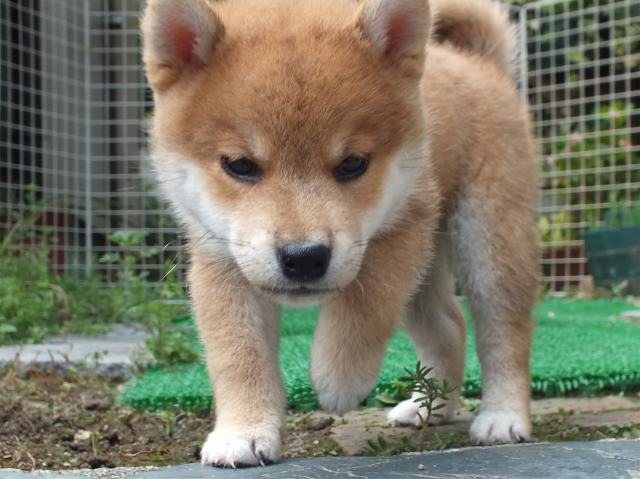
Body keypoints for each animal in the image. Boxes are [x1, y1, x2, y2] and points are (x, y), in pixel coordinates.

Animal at [142, 0, 536, 468]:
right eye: (239, 165)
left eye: (353, 164)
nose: (303, 257)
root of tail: (478, 63)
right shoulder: (221, 260)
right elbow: (238, 354)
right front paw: (244, 431)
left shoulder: (402, 227)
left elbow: (363, 307)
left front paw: (339, 378)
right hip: (424, 280)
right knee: (449, 326)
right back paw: (429, 409)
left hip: (489, 245)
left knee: (504, 332)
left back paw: (503, 417)